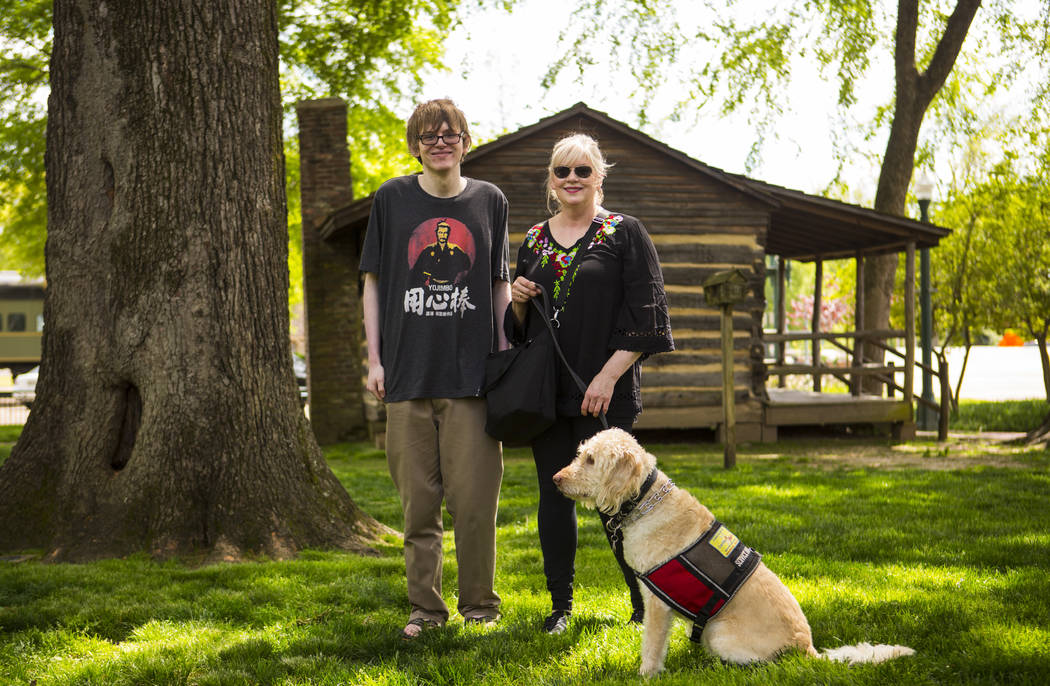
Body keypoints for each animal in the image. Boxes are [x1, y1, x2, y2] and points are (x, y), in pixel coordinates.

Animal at [554, 428, 915, 672]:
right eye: (581, 453)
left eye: (590, 459)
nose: (555, 478)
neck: (644, 498)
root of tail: (808, 648)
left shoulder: (657, 603)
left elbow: (652, 645)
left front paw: (646, 674)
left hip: (719, 633)